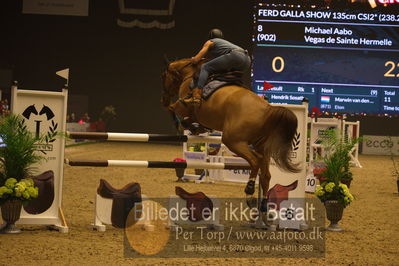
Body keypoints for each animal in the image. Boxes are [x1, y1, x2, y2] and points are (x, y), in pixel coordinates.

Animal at [162, 57, 300, 208]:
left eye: (164, 77)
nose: (164, 100)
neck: (189, 75)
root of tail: (268, 109)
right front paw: (198, 128)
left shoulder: (182, 107)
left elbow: (175, 112)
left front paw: (188, 127)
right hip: (260, 145)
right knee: (265, 174)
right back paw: (263, 206)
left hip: (233, 141)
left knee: (255, 161)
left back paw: (249, 192)